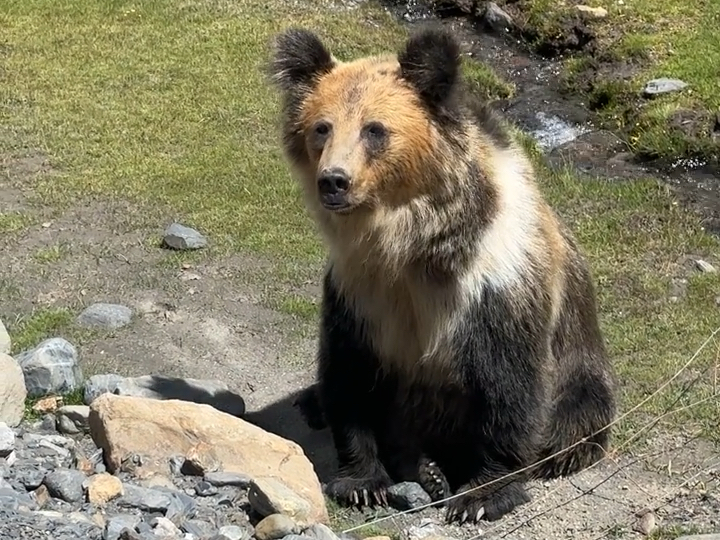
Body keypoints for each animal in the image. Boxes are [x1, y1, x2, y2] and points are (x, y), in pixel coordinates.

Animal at [268, 26, 616, 524]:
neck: (413, 244)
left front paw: (481, 495)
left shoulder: (492, 284)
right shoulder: (362, 289)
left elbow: (507, 386)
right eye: (322, 127)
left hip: (582, 371)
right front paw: (362, 482)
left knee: (574, 418)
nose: (334, 180)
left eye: (375, 129)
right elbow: (350, 374)